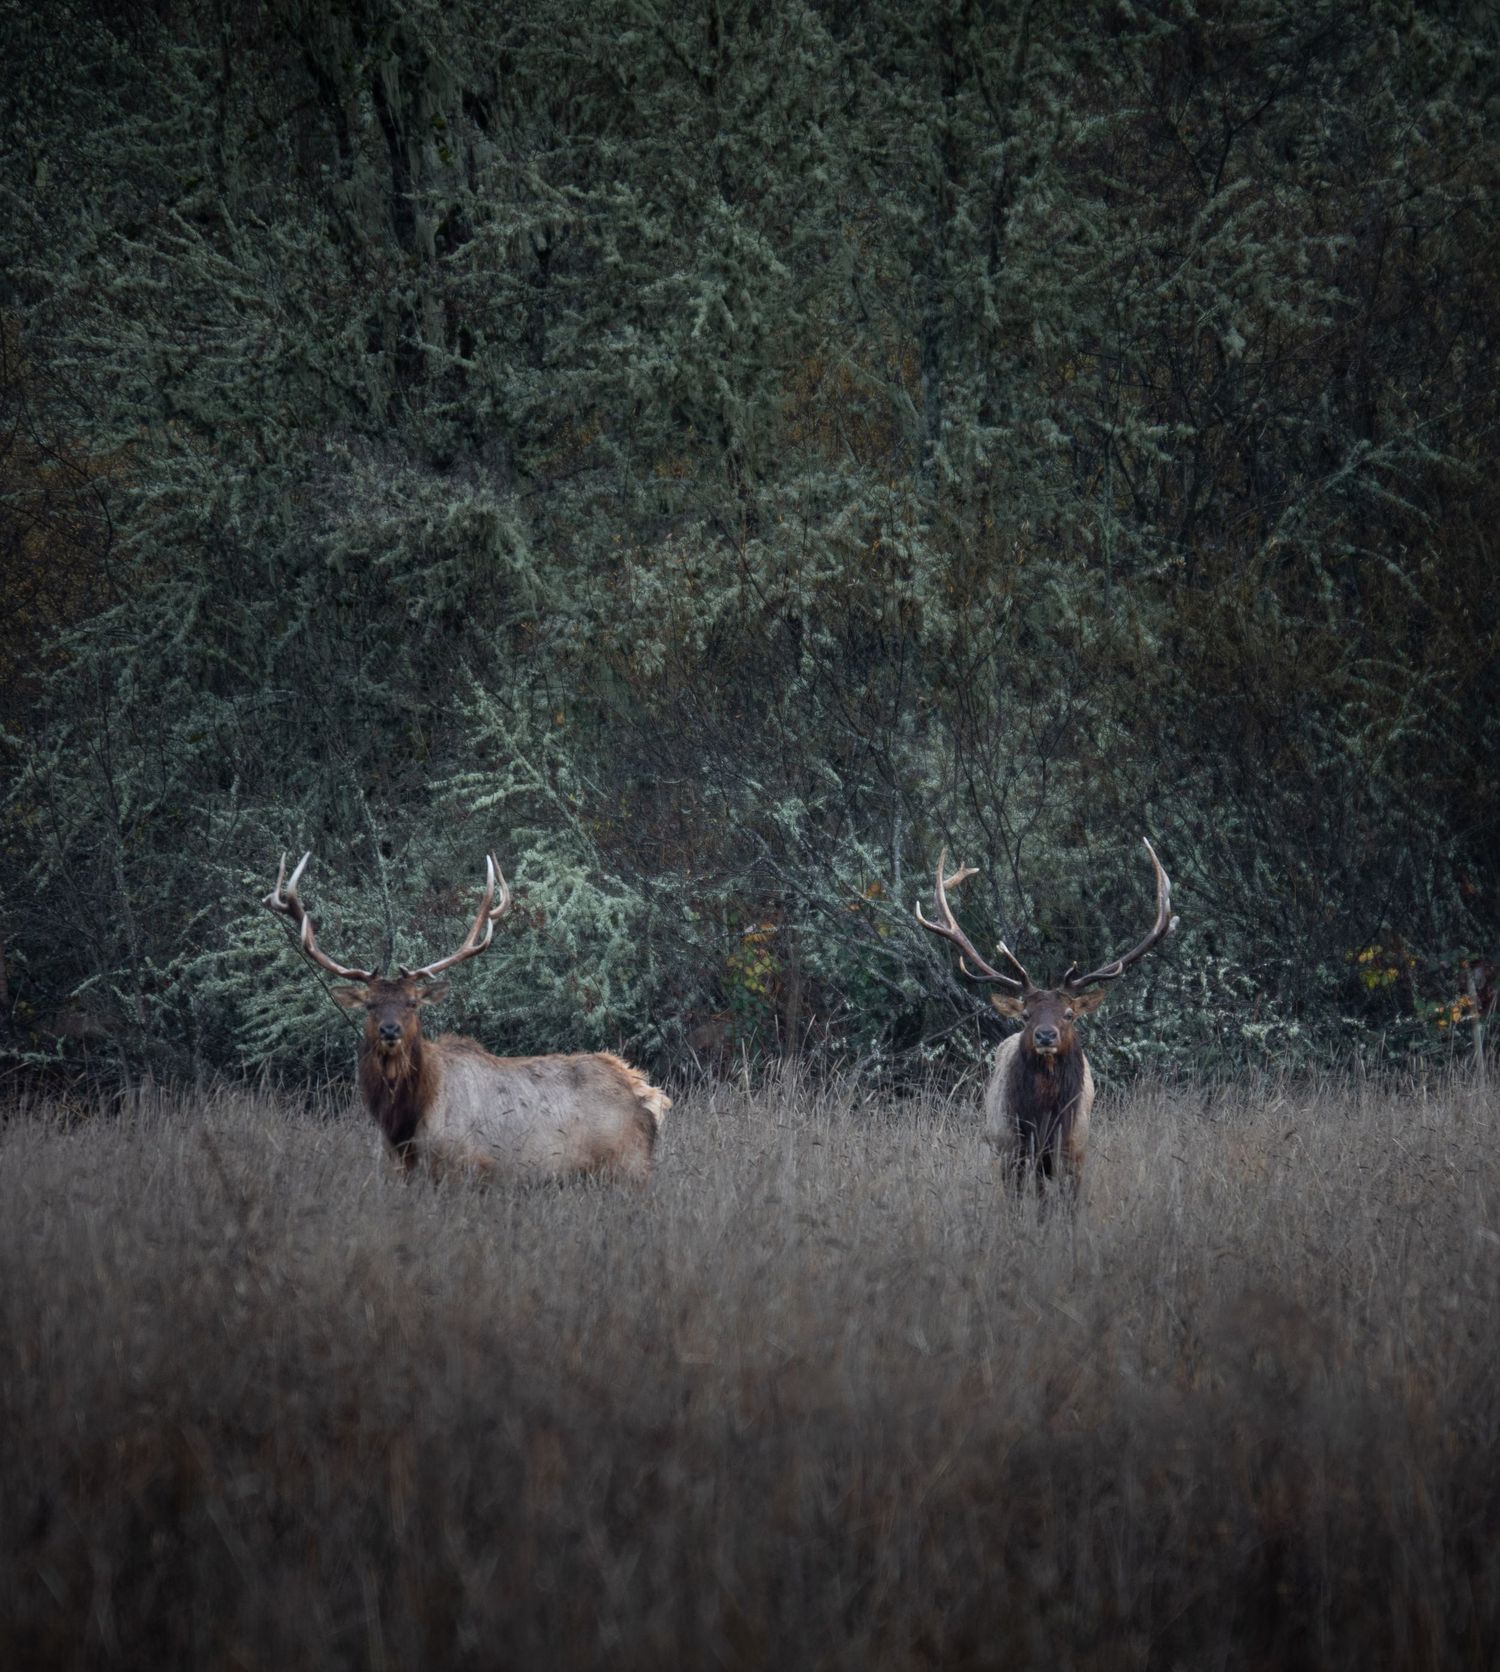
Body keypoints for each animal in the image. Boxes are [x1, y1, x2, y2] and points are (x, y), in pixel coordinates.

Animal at [263, 853, 670, 1182]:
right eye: (370, 1004)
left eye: (413, 1002)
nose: (390, 1030)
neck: (406, 1122)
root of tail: (649, 1095)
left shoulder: (468, 1166)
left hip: (627, 1167)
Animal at [916, 838, 1176, 1198]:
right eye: (1026, 1015)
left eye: (1069, 1014)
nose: (1045, 1035)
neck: (1043, 1118)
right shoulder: (1011, 1149)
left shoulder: (1074, 1152)